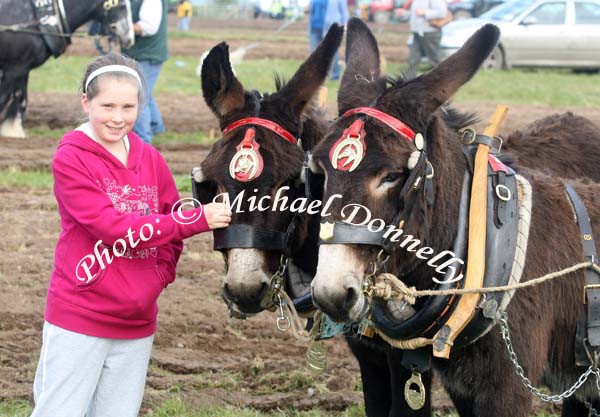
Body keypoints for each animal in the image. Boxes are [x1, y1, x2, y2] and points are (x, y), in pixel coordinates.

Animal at [0, 0, 134, 137]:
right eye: (122, 6)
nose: (130, 39)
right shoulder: (14, 69)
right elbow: (3, 98)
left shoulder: (23, 68)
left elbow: (21, 98)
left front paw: (13, 131)